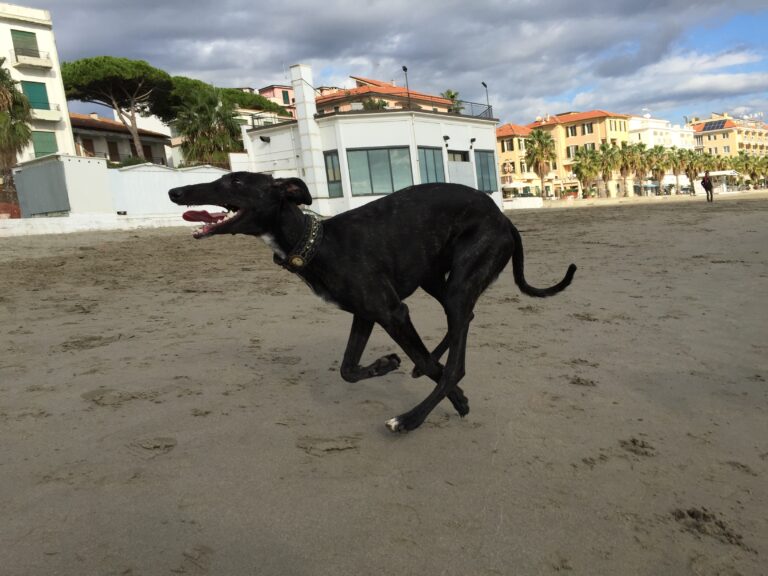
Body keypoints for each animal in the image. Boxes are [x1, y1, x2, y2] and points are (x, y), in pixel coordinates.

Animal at [170, 173, 576, 434]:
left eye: (235, 182)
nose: (176, 191)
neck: (317, 242)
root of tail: (504, 218)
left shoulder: (392, 312)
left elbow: (426, 362)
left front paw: (454, 399)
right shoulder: (367, 314)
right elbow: (348, 369)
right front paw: (386, 364)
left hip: (461, 279)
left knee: (455, 359)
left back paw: (410, 419)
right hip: (436, 279)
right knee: (461, 322)